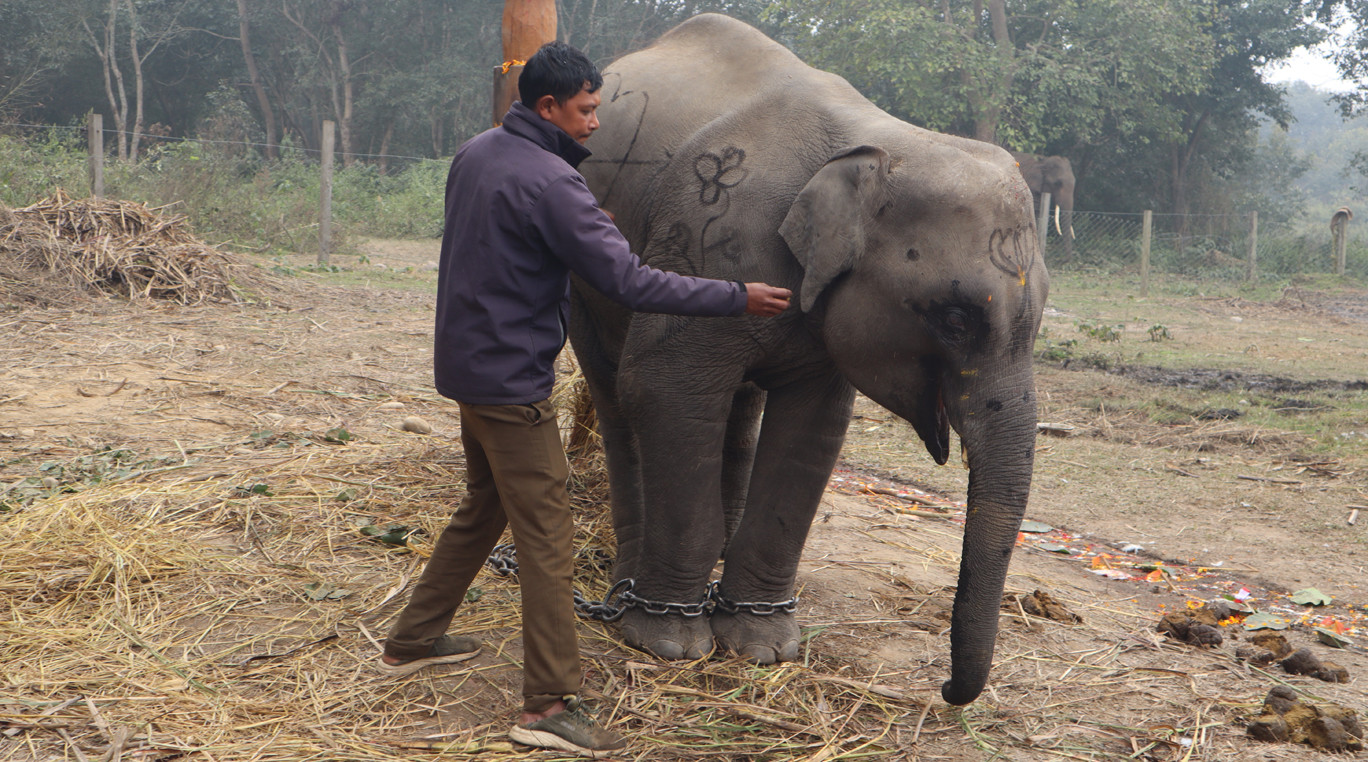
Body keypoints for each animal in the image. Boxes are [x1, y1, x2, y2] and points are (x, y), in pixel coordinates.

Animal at [569, 13, 1045, 705]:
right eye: (956, 318)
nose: (946, 689)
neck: (880, 139)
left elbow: (811, 428)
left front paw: (762, 648)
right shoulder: (706, 238)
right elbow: (663, 389)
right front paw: (673, 645)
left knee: (737, 405)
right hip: (583, 272)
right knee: (616, 391)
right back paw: (630, 589)